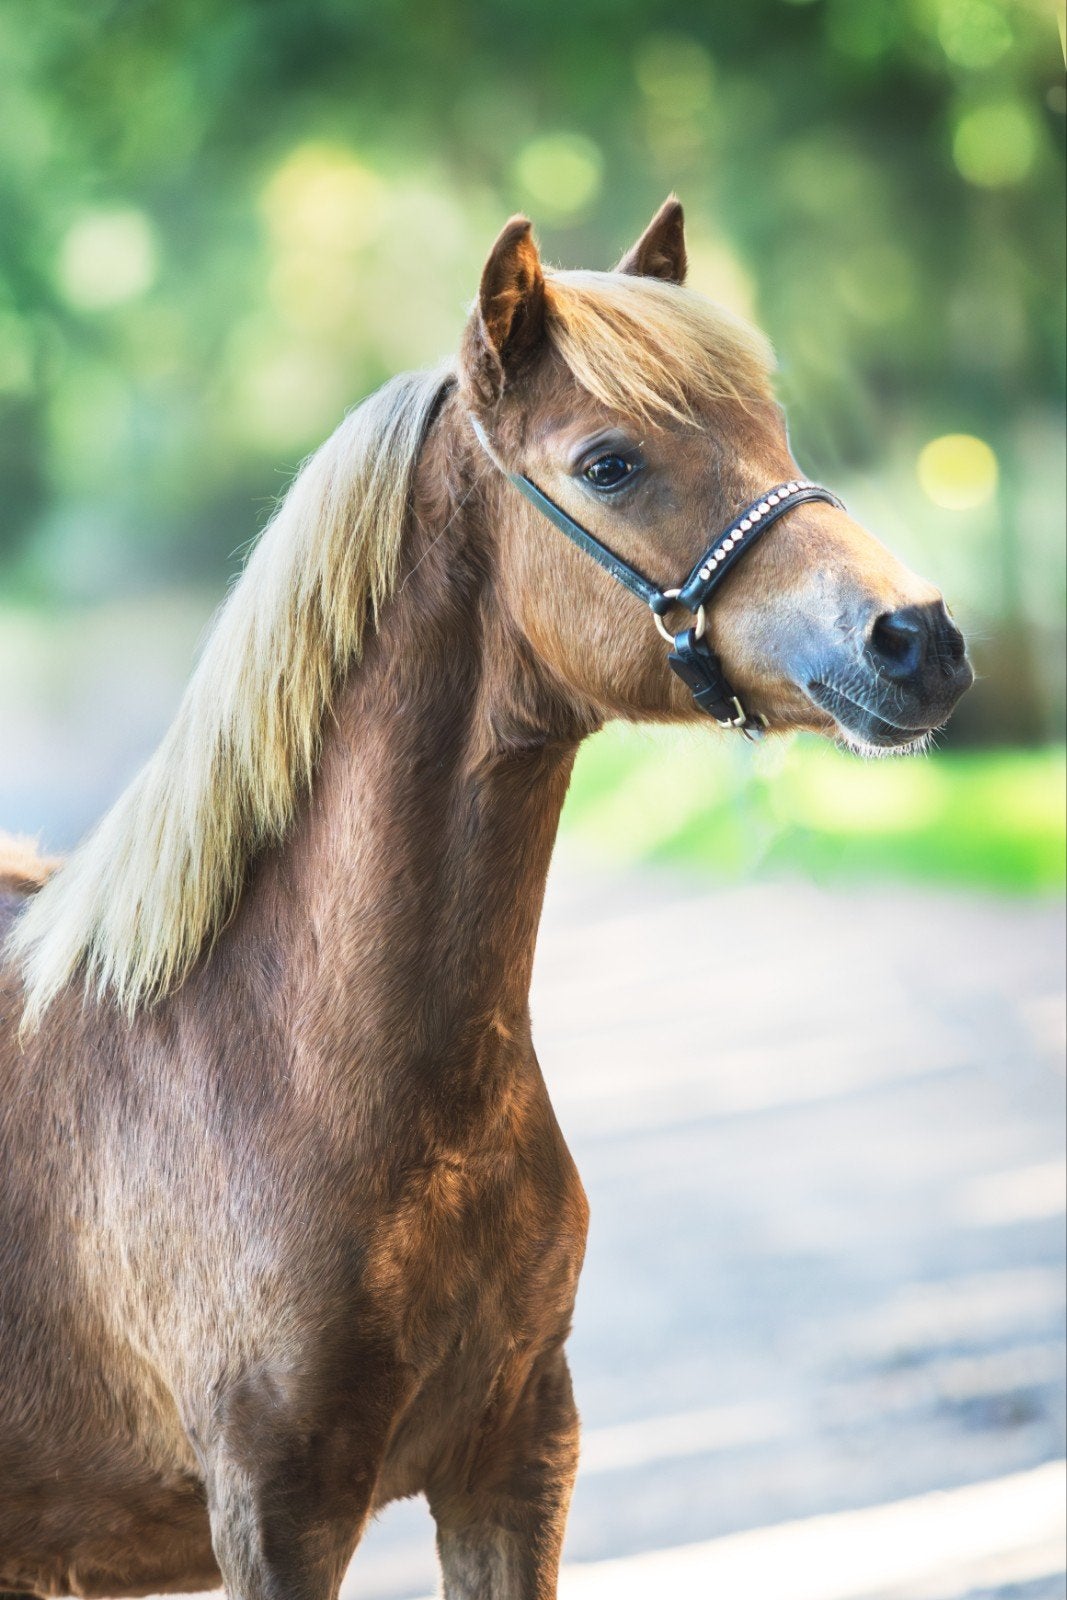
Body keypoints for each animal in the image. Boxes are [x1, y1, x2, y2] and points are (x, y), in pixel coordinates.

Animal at [0, 198, 972, 1600]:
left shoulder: (517, 1459)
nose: (917, 641)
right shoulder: (274, 1514)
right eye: (608, 463)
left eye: (770, 431)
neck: (275, 1063)